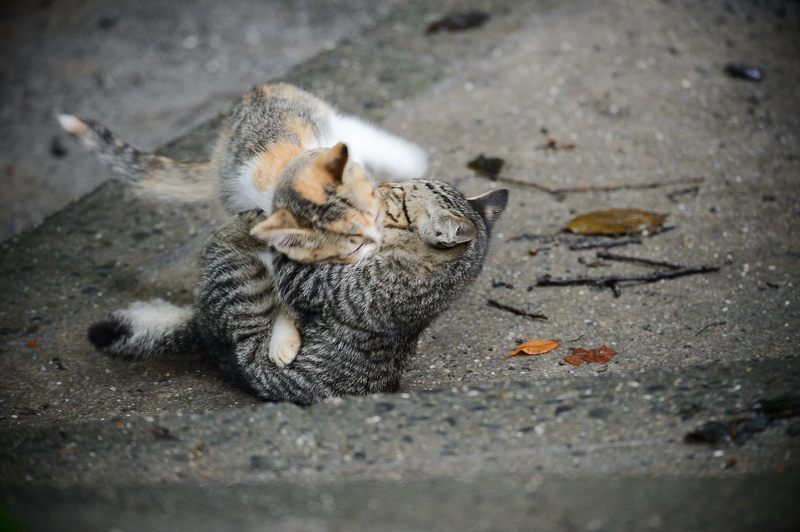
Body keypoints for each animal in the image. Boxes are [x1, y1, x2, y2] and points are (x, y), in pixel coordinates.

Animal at [61, 82, 432, 366]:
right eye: (355, 244)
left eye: (377, 218)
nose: (380, 241)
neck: (283, 165)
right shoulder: (260, 234)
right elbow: (278, 287)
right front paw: (282, 340)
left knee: (359, 132)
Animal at [86, 181, 506, 402]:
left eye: (402, 194)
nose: (382, 184)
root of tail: (204, 331)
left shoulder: (318, 284)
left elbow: (296, 265)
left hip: (245, 297)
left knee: (232, 245)